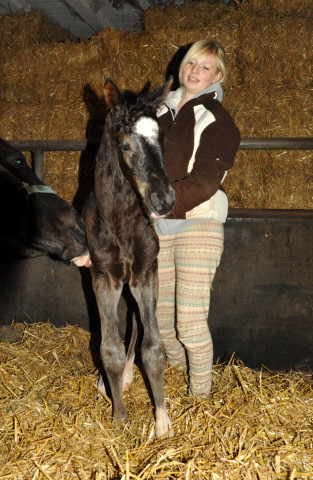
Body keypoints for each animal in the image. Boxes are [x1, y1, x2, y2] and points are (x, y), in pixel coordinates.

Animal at [82, 79, 176, 438]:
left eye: (162, 139)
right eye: (124, 144)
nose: (164, 200)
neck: (120, 222)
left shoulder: (145, 273)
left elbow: (153, 347)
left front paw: (162, 421)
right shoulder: (103, 277)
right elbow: (108, 348)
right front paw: (119, 417)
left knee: (135, 323)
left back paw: (125, 375)